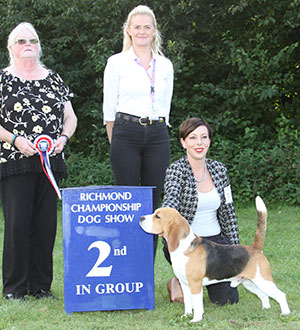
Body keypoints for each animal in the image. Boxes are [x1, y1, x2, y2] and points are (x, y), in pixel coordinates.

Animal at [141, 197, 290, 320]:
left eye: (157, 216)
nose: (141, 217)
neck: (184, 246)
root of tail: (255, 248)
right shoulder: (185, 284)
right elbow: (188, 303)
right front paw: (186, 316)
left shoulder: (195, 284)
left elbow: (197, 304)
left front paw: (196, 319)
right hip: (250, 283)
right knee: (264, 295)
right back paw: (265, 309)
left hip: (264, 280)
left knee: (281, 295)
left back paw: (285, 313)